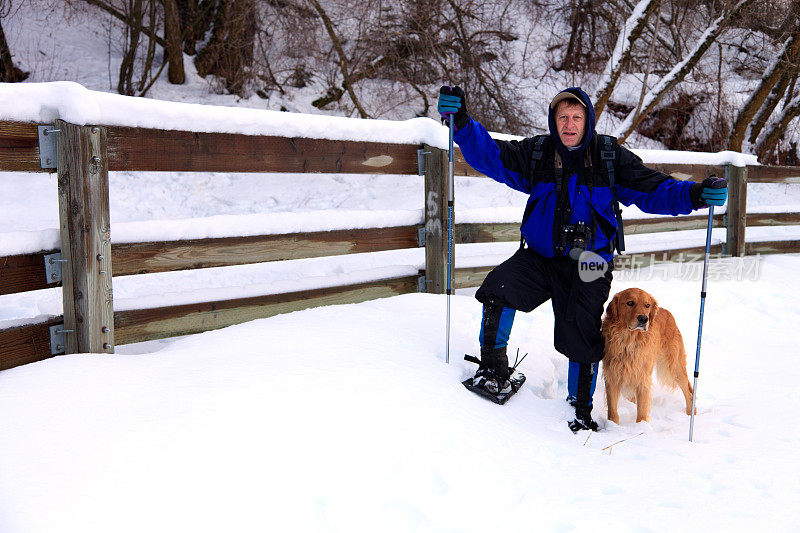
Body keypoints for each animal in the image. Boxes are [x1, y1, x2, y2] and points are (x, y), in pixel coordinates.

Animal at [600, 286, 692, 424]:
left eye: (647, 305)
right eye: (630, 303)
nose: (644, 319)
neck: (629, 342)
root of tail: (667, 312)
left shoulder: (643, 378)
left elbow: (642, 412)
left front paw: (641, 426)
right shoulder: (612, 376)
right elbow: (613, 411)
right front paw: (613, 426)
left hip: (674, 366)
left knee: (689, 392)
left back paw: (691, 415)